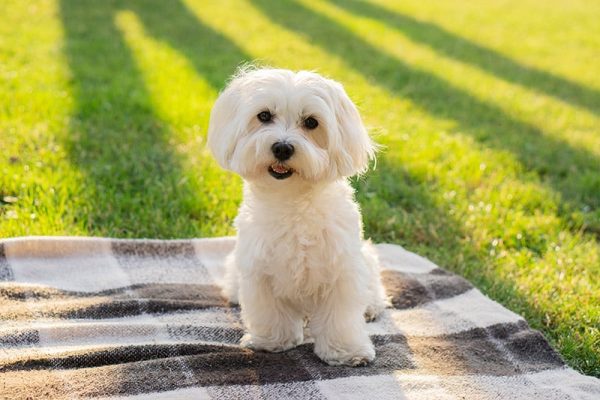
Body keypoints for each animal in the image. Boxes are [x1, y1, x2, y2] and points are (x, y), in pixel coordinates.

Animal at [209, 68, 390, 366]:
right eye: (264, 116)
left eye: (311, 122)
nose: (282, 147)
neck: (291, 201)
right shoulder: (259, 269)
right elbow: (269, 311)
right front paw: (272, 340)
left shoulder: (341, 268)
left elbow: (341, 317)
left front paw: (346, 350)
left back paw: (372, 305)